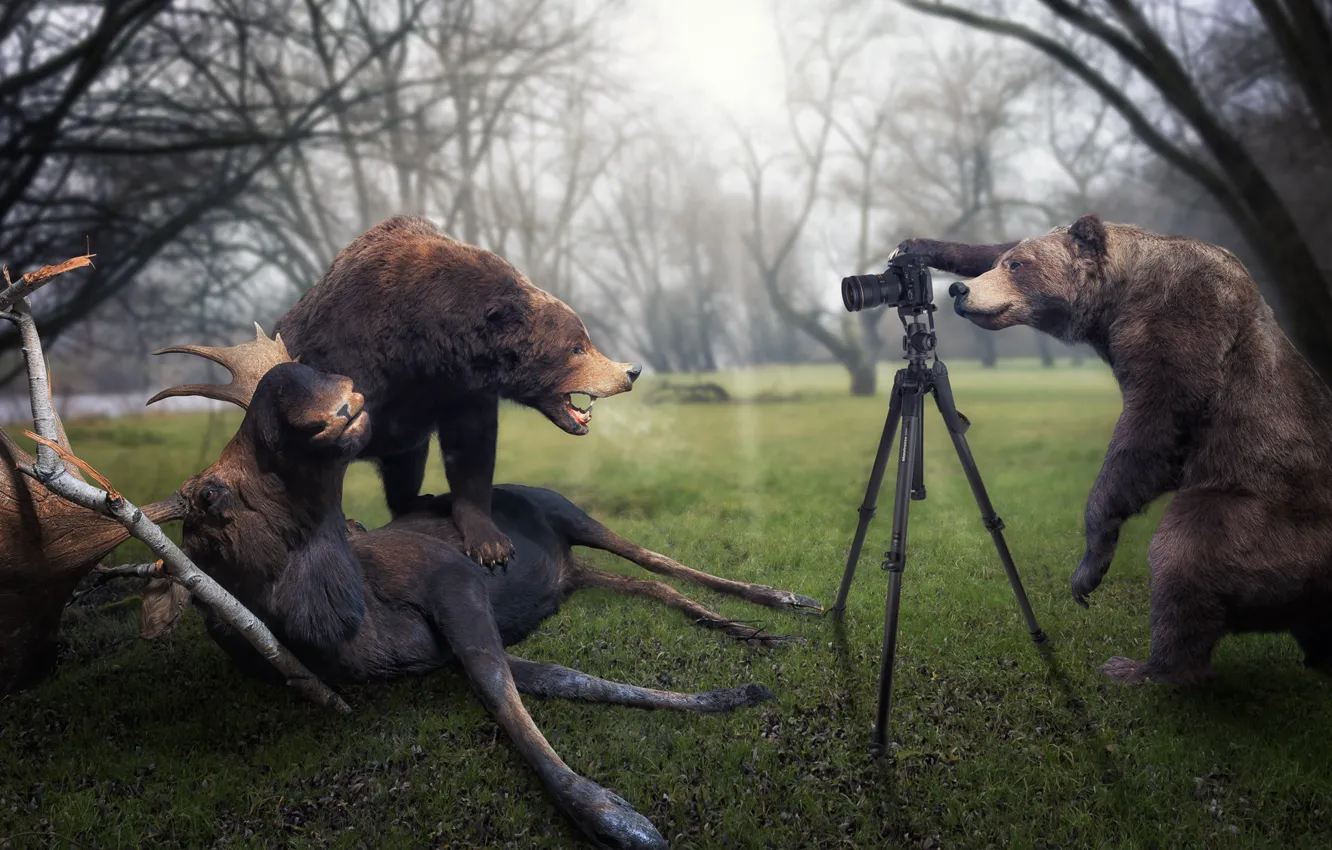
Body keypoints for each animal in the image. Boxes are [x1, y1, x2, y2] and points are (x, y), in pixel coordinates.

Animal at [153, 331, 820, 850]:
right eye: (210, 495)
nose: (311, 383)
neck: (349, 631)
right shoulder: (442, 651)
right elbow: (558, 678)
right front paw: (731, 695)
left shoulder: (453, 582)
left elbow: (500, 691)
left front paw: (614, 816)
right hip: (576, 573)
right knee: (643, 585)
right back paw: (741, 626)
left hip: (574, 514)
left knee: (654, 558)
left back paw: (783, 601)